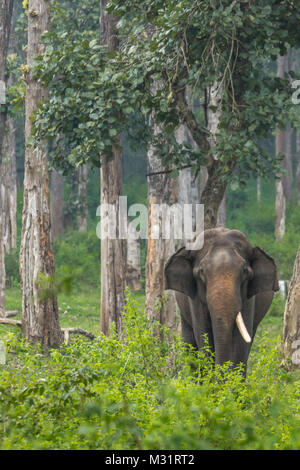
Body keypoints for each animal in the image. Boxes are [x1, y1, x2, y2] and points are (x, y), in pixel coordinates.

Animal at [164, 226, 278, 376]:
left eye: (244, 271)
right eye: (201, 272)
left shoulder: (248, 298)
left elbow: (241, 343)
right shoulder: (195, 298)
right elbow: (203, 334)